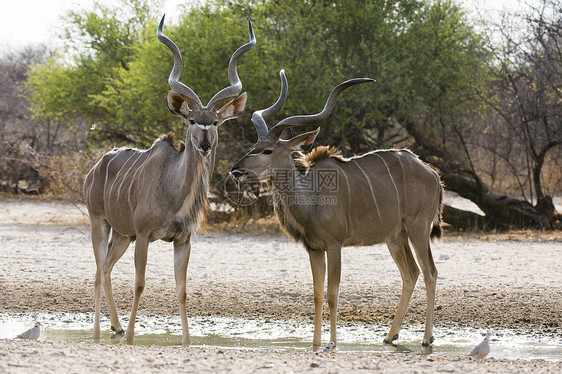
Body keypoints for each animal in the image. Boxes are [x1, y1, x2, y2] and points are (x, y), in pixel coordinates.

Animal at [82, 16, 254, 346]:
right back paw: (99, 334)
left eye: (215, 122)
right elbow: (139, 283)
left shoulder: (182, 240)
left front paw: (186, 341)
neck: (174, 192)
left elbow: (182, 289)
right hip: (100, 222)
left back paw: (115, 327)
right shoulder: (143, 235)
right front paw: (131, 338)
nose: (204, 145)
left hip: (121, 235)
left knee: (106, 269)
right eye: (192, 120)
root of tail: (95, 167)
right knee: (97, 272)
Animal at [229, 70, 442, 350]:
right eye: (253, 146)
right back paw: (390, 336)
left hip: (418, 228)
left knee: (430, 272)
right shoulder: (314, 249)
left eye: (267, 150)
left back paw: (427, 339)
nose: (236, 169)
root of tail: (433, 173)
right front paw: (316, 343)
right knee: (411, 273)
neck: (312, 198)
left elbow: (332, 293)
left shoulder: (335, 245)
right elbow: (317, 293)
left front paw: (331, 343)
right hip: (395, 237)